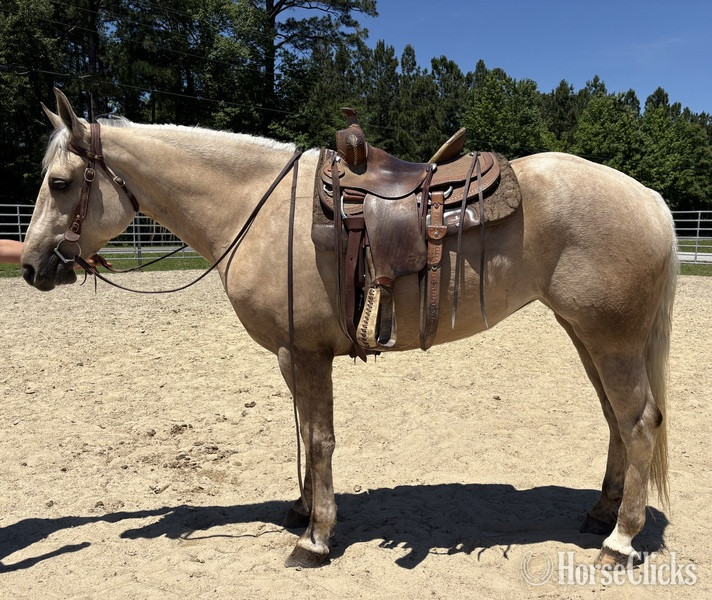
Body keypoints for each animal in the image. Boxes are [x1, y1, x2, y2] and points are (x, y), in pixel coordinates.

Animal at [21, 89, 677, 569]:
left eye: (60, 183)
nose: (29, 267)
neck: (260, 209)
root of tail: (648, 196)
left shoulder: (305, 353)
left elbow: (319, 439)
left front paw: (315, 538)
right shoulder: (293, 356)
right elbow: (305, 434)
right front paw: (302, 509)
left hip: (611, 338)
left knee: (639, 423)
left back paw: (620, 541)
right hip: (585, 333)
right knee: (617, 420)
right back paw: (601, 515)